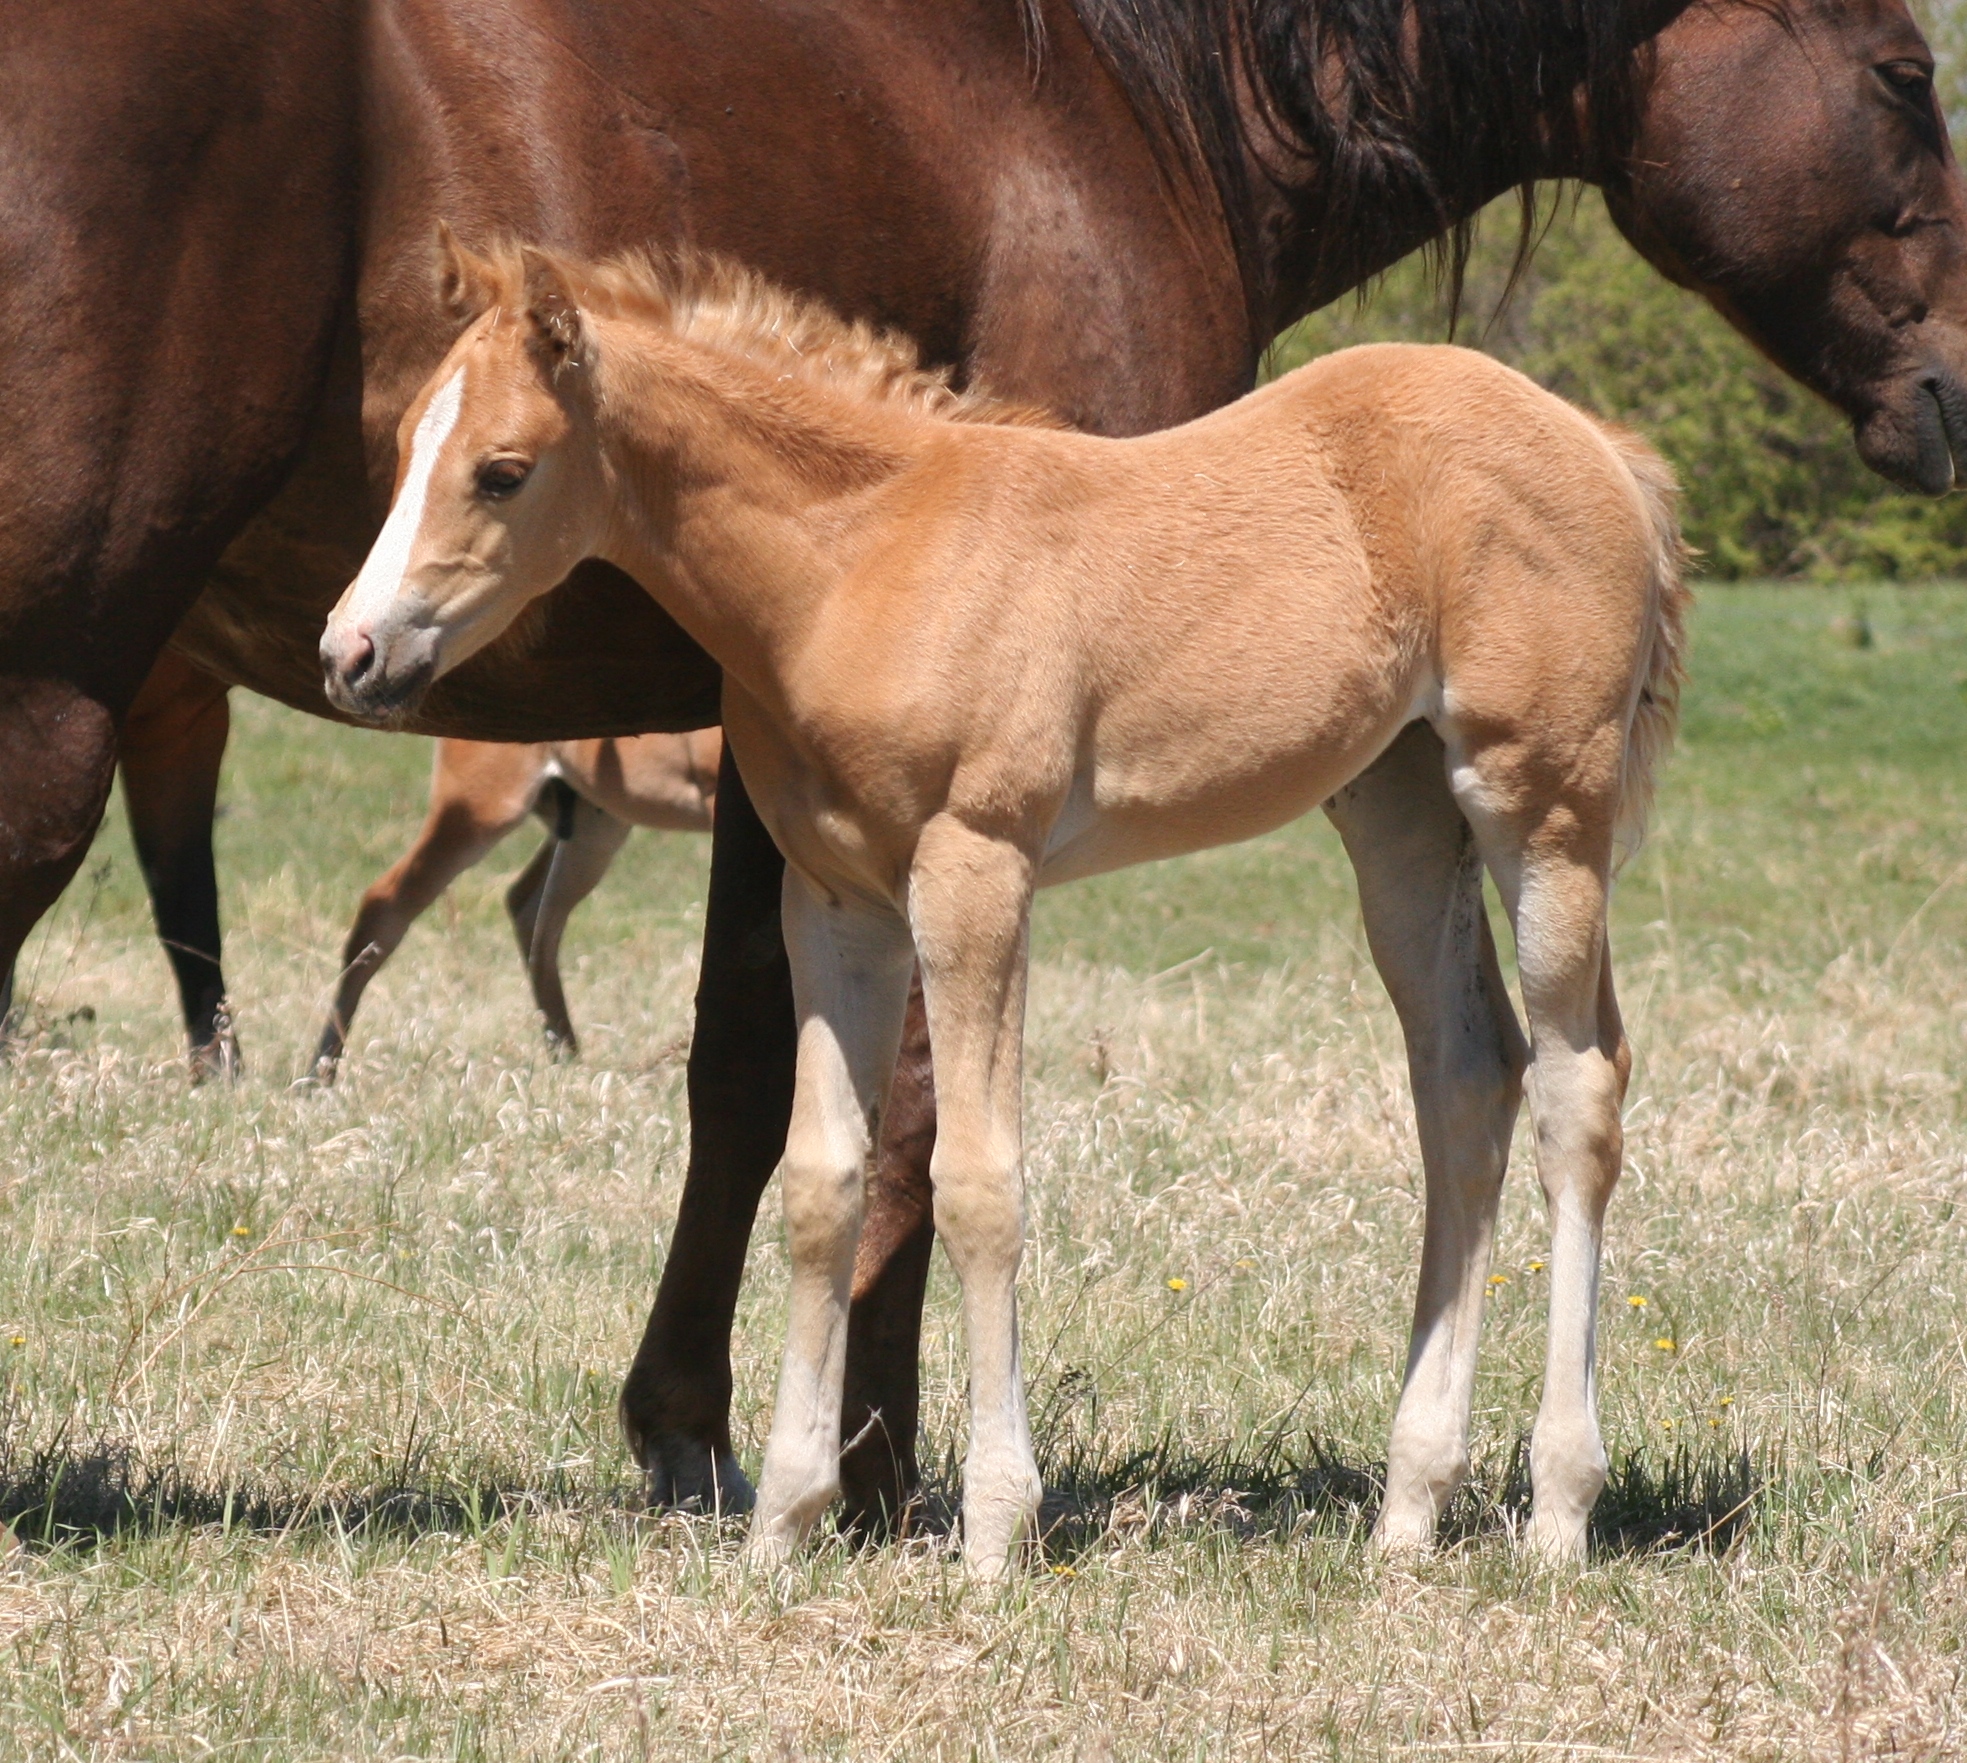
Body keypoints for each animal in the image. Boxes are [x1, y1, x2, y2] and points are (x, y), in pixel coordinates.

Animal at [314, 728, 723, 1078]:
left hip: (594, 823)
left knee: (530, 909)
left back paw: (568, 1062)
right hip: (484, 807)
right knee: (386, 903)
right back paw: (318, 1076)